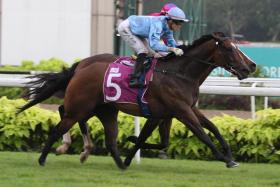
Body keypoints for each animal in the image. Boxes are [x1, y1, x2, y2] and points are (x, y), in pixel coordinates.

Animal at [18, 32, 256, 169]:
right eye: (229, 48)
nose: (251, 66)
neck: (180, 73)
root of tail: (80, 67)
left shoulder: (179, 110)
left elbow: (211, 128)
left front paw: (230, 154)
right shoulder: (181, 111)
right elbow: (202, 134)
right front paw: (225, 159)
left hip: (99, 107)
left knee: (79, 120)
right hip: (81, 105)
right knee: (61, 121)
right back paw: (47, 157)